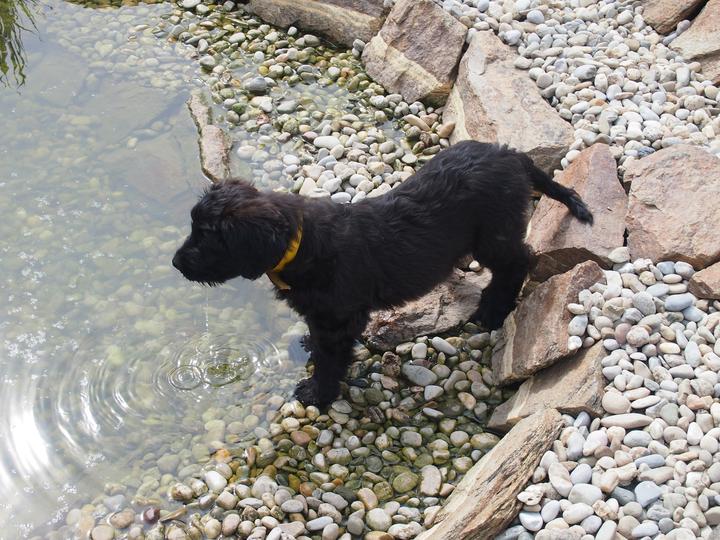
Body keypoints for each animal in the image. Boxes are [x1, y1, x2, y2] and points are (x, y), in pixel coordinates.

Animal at [173, 141, 593, 407]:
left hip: (494, 233)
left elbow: (331, 358)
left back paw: (492, 312)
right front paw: (309, 348)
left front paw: (317, 394)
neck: (302, 245)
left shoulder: (339, 318)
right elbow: (319, 341)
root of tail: (511, 155)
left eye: (207, 237)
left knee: (518, 262)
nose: (176, 264)